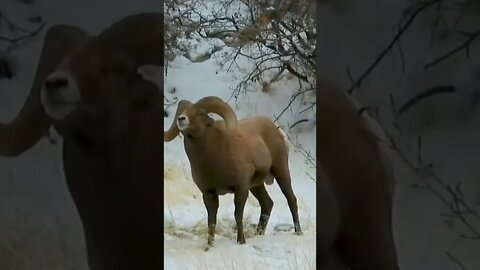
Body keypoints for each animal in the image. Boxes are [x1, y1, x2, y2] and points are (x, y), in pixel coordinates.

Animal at [163, 96, 302, 249]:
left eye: (200, 114)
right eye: (183, 112)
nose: (181, 119)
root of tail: (276, 128)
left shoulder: (240, 189)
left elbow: (238, 215)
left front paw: (241, 241)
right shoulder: (209, 193)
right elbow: (211, 220)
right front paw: (209, 246)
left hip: (281, 172)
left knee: (291, 199)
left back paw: (298, 232)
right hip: (256, 186)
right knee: (267, 204)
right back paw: (258, 235)